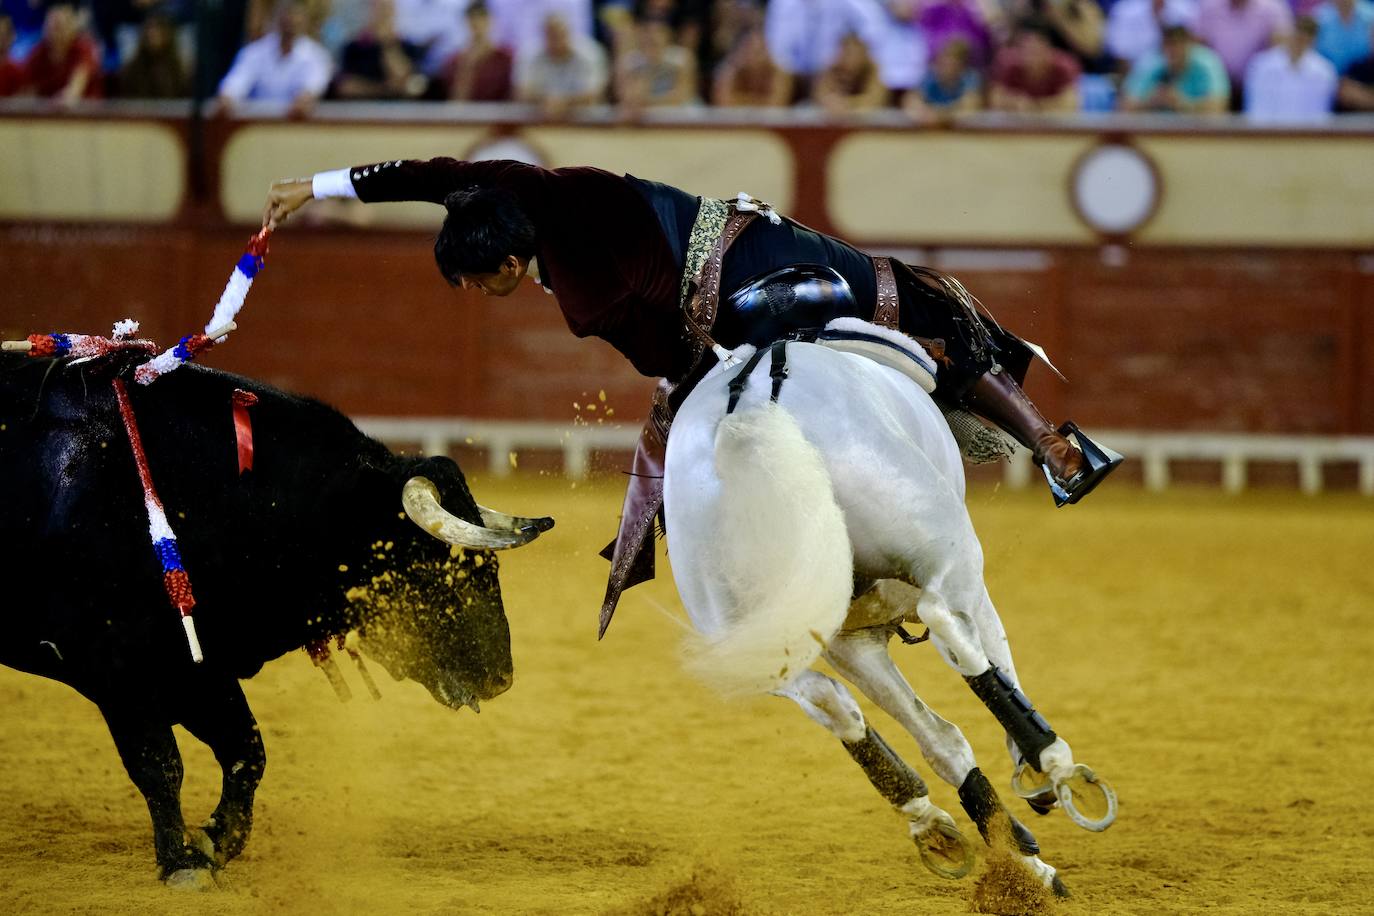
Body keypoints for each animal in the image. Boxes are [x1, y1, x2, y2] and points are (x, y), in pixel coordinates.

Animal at [1, 354, 546, 878]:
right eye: (433, 566)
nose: (501, 677)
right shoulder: (118, 672)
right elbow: (159, 764)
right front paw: (180, 863)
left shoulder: (199, 665)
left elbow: (247, 750)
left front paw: (215, 841)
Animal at [665, 324, 1115, 895]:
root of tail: (744, 417)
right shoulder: (962, 590)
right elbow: (996, 659)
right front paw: (1036, 773)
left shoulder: (857, 642)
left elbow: (940, 739)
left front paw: (1021, 856)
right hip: (950, 552)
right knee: (948, 622)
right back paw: (1055, 764)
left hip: (757, 633)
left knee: (833, 701)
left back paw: (937, 825)